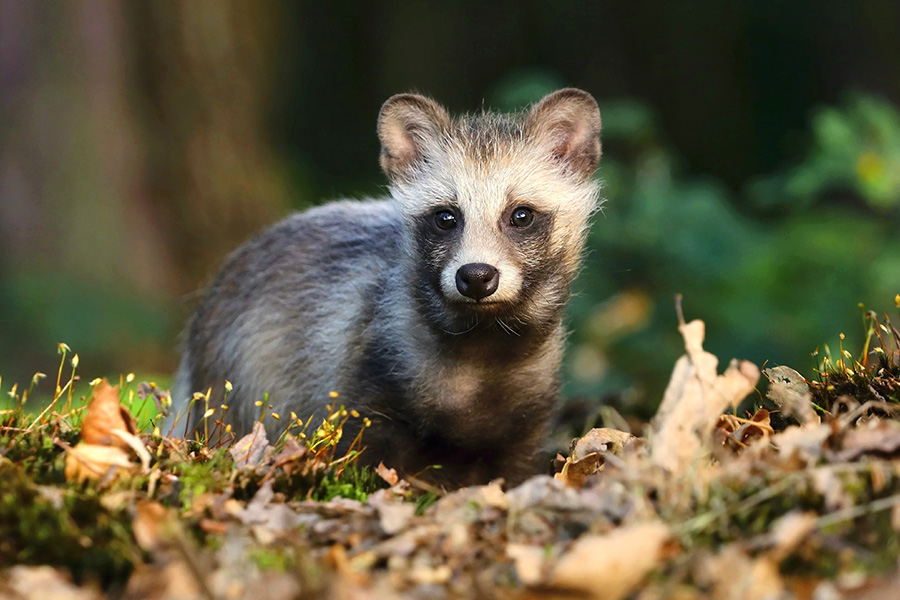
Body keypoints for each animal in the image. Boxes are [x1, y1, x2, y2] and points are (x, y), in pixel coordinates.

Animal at [171, 89, 600, 488]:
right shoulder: (364, 375)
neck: (482, 352)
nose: (476, 276)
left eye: (521, 215)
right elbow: (362, 457)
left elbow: (516, 468)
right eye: (446, 216)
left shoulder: (529, 407)